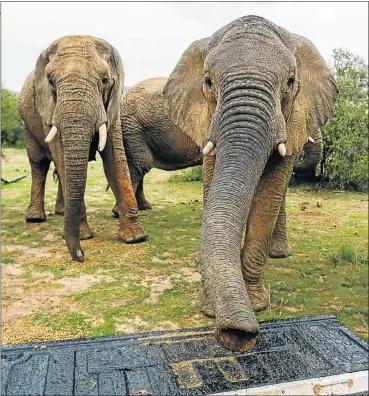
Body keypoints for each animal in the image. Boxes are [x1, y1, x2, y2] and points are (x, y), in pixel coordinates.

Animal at [17, 35, 147, 262]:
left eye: (104, 80)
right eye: (51, 82)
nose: (81, 256)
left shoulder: (111, 105)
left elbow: (114, 159)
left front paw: (135, 238)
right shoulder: (49, 108)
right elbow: (61, 155)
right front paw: (85, 236)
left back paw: (61, 213)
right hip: (28, 123)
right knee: (39, 164)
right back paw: (35, 218)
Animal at [160, 15, 338, 352]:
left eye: (291, 82)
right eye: (208, 81)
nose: (237, 335)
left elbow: (269, 197)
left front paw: (256, 306)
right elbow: (211, 186)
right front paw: (211, 309)